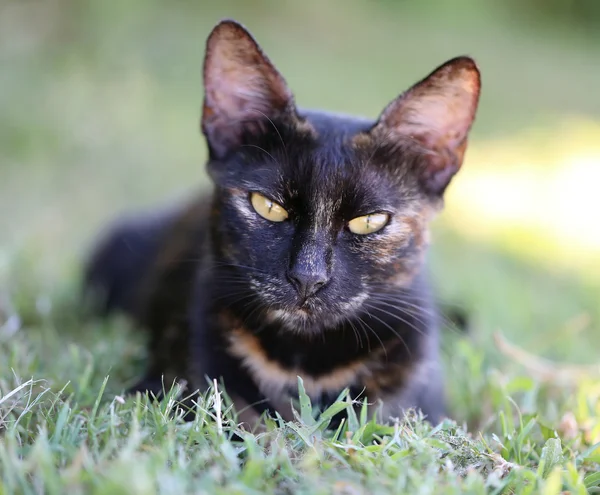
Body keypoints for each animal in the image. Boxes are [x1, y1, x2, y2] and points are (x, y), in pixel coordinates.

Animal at [82, 19, 480, 428]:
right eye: (268, 207)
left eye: (370, 221)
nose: (307, 278)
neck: (307, 358)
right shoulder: (180, 374)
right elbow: (242, 418)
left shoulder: (418, 399)